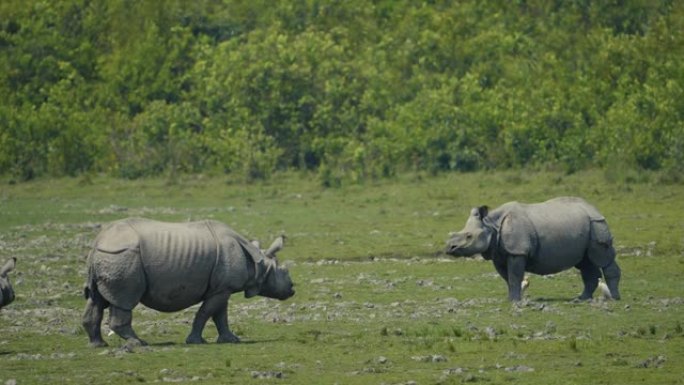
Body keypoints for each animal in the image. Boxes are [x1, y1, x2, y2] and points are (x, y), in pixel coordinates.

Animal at [82, 218, 294, 346]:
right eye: (283, 272)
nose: (292, 289)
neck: (257, 263)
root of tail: (98, 242)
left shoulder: (222, 288)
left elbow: (220, 315)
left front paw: (231, 340)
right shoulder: (222, 289)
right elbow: (206, 313)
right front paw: (195, 341)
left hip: (109, 257)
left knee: (97, 300)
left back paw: (98, 345)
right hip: (122, 256)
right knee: (125, 300)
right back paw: (139, 344)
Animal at [446, 196, 624, 302]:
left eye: (469, 236)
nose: (449, 248)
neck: (491, 225)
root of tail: (595, 208)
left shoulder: (517, 251)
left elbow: (515, 276)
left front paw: (514, 301)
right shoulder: (499, 254)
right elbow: (507, 278)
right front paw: (511, 299)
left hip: (597, 223)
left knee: (602, 259)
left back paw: (615, 298)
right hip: (586, 226)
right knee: (585, 263)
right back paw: (581, 299)